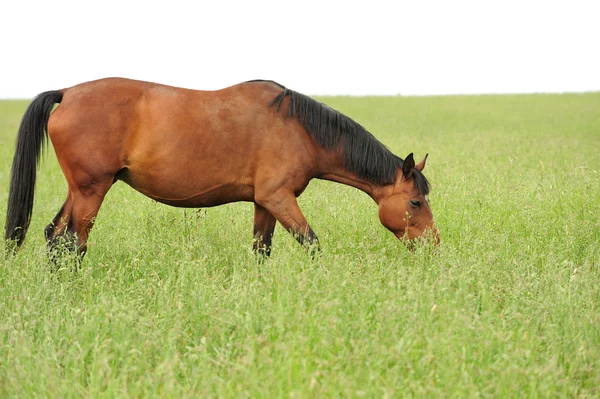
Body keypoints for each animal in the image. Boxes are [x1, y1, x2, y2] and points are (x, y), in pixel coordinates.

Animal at [3, 78, 436, 260]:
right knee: (72, 241)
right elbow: (312, 244)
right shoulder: (280, 199)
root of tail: (68, 93)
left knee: (54, 236)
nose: (434, 245)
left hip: (80, 189)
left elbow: (261, 250)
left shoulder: (265, 202)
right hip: (92, 190)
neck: (299, 128)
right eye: (415, 202)